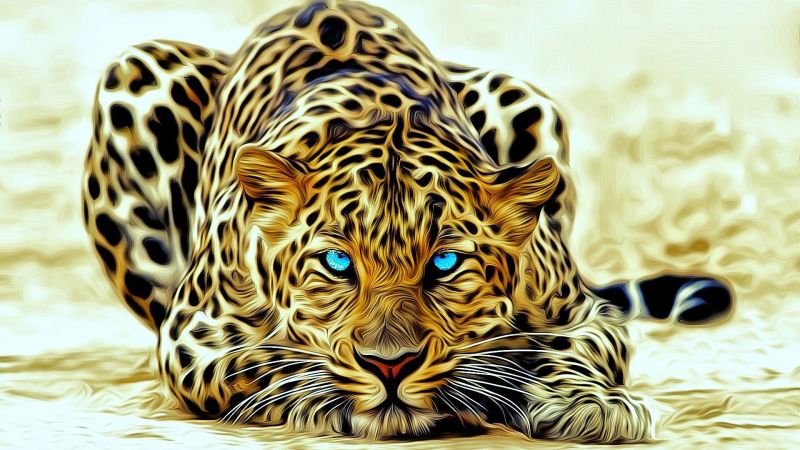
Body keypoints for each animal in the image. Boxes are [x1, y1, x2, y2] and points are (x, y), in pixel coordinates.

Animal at [81, 0, 733, 442]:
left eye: (445, 263)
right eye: (337, 262)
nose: (390, 366)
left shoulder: (581, 311)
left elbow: (575, 348)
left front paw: (589, 404)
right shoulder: (191, 332)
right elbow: (259, 363)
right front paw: (324, 398)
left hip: (523, 96)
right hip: (134, 75)